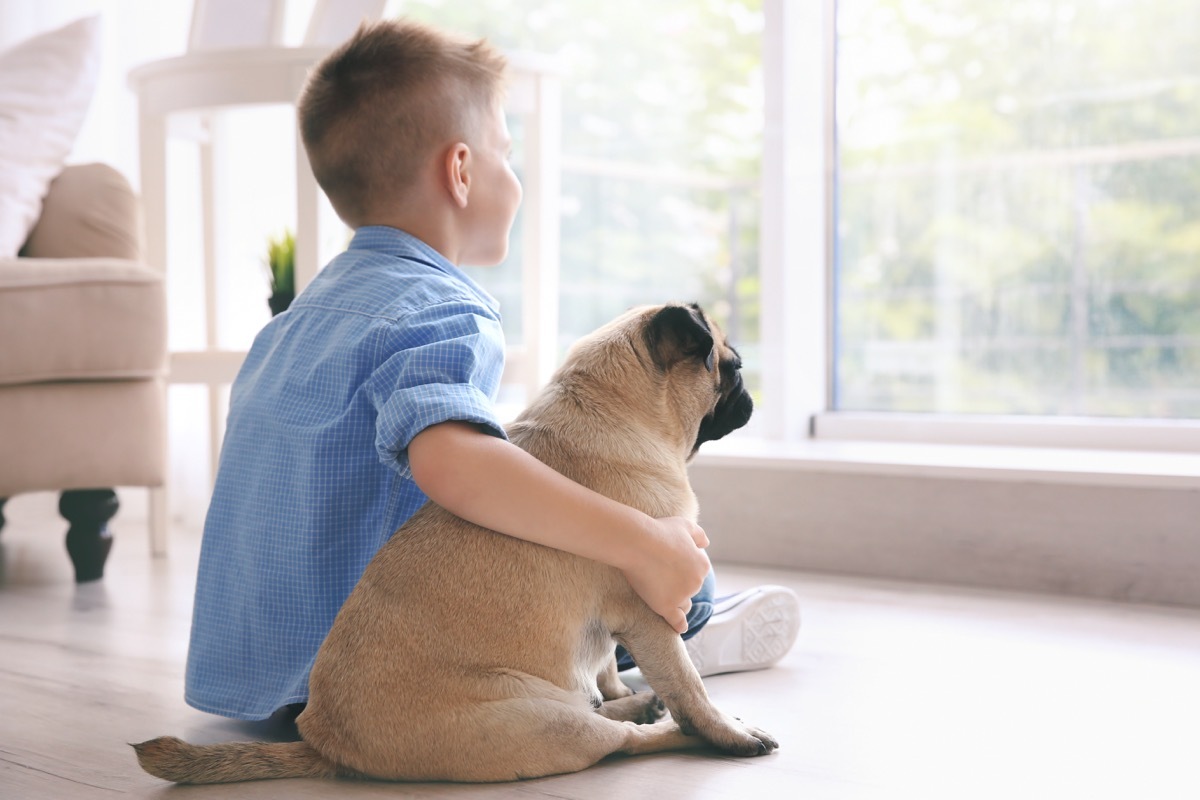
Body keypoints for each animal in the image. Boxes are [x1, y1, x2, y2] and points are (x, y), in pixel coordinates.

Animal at [136, 299, 777, 782]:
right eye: (732, 367)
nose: (750, 393)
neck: (611, 410)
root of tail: (326, 745)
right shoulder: (653, 613)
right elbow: (691, 688)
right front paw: (725, 732)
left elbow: (607, 670)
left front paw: (633, 689)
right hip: (550, 722)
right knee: (620, 737)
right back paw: (676, 729)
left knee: (602, 701)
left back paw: (639, 702)